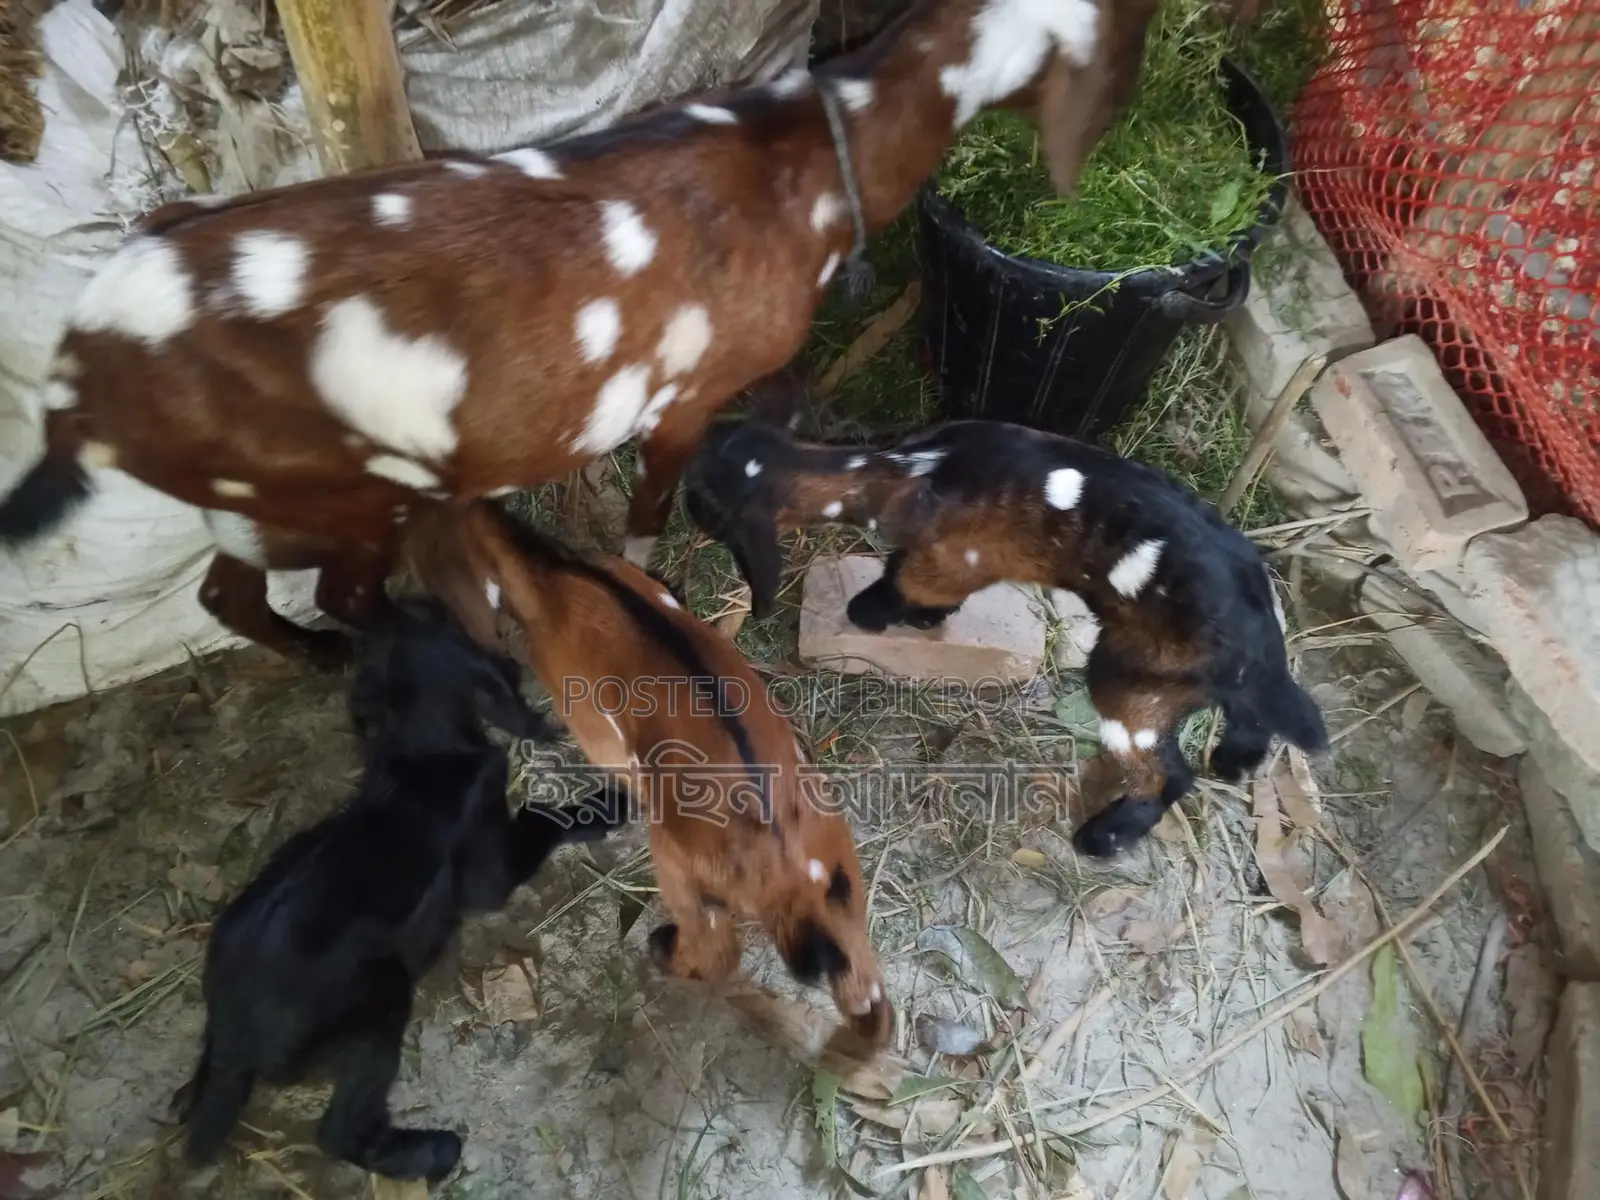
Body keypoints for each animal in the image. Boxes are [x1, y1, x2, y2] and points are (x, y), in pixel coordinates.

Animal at [0, 0, 1163, 666]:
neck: (808, 159)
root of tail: (83, 358)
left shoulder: (760, 358)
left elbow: (789, 408)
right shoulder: (681, 393)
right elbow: (649, 514)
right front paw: (668, 591)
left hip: (251, 502)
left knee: (230, 594)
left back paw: (323, 661)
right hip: (338, 492)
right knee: (337, 590)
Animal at [181, 597, 624, 1180]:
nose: (511, 654)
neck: (423, 747)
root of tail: (233, 1031)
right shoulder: (489, 870)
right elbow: (538, 817)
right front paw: (604, 807)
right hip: (382, 994)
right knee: (340, 1131)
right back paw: (430, 1152)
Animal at [401, 500, 894, 1050]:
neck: (555, 575)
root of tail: (790, 877)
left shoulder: (590, 716)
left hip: (679, 863)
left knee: (715, 951)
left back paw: (663, 950)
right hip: (841, 875)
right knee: (866, 985)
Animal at [680, 417, 1330, 859]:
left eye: (703, 498)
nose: (680, 508)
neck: (910, 471)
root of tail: (1256, 641)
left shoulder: (948, 559)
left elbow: (903, 582)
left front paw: (870, 613)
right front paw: (918, 621)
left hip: (1129, 678)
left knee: (1168, 773)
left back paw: (1101, 837)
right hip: (1202, 681)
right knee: (1248, 719)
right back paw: (1234, 761)